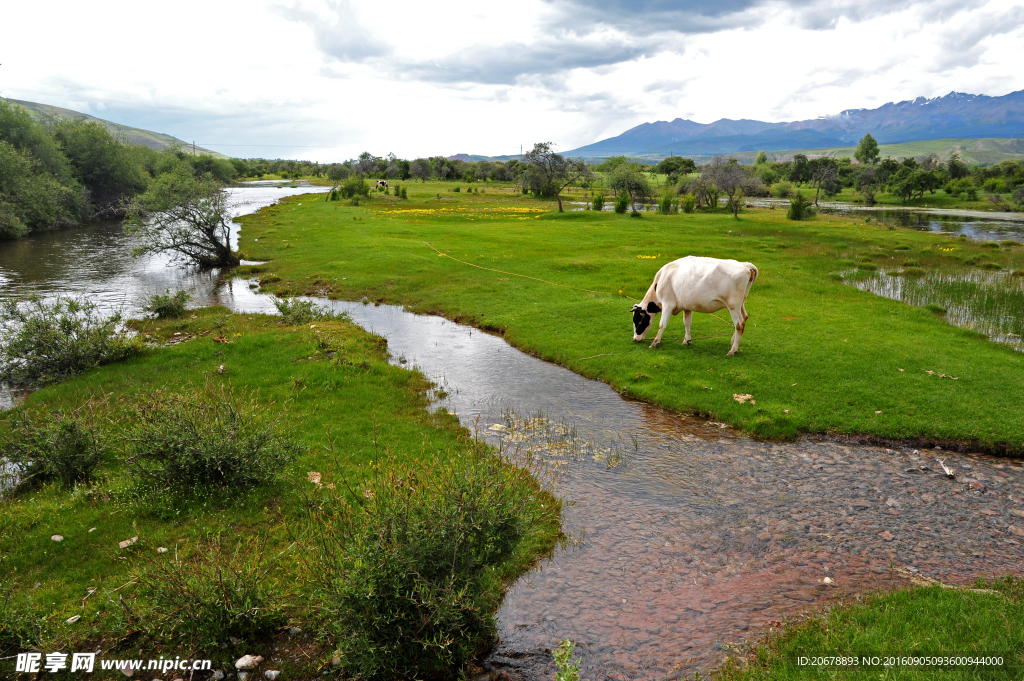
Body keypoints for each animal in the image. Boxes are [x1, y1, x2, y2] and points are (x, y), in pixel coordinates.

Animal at [626, 254, 757, 356]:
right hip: (740, 304)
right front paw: (686, 340)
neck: (663, 278)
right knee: (744, 318)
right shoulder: (686, 306)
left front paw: (655, 343)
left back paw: (733, 350)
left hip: (733, 306)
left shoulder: (667, 304)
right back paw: (733, 342)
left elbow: (662, 325)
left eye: (637, 320)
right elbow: (687, 322)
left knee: (739, 324)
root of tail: (745, 265)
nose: (634, 339)